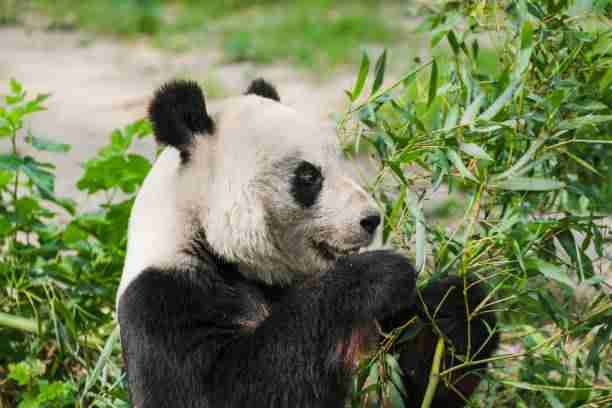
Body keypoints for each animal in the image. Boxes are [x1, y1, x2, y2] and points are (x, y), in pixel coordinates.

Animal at [117, 78, 500, 406]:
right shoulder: (164, 298)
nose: (371, 219)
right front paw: (378, 275)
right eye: (308, 175)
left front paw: (456, 308)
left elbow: (423, 384)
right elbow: (223, 392)